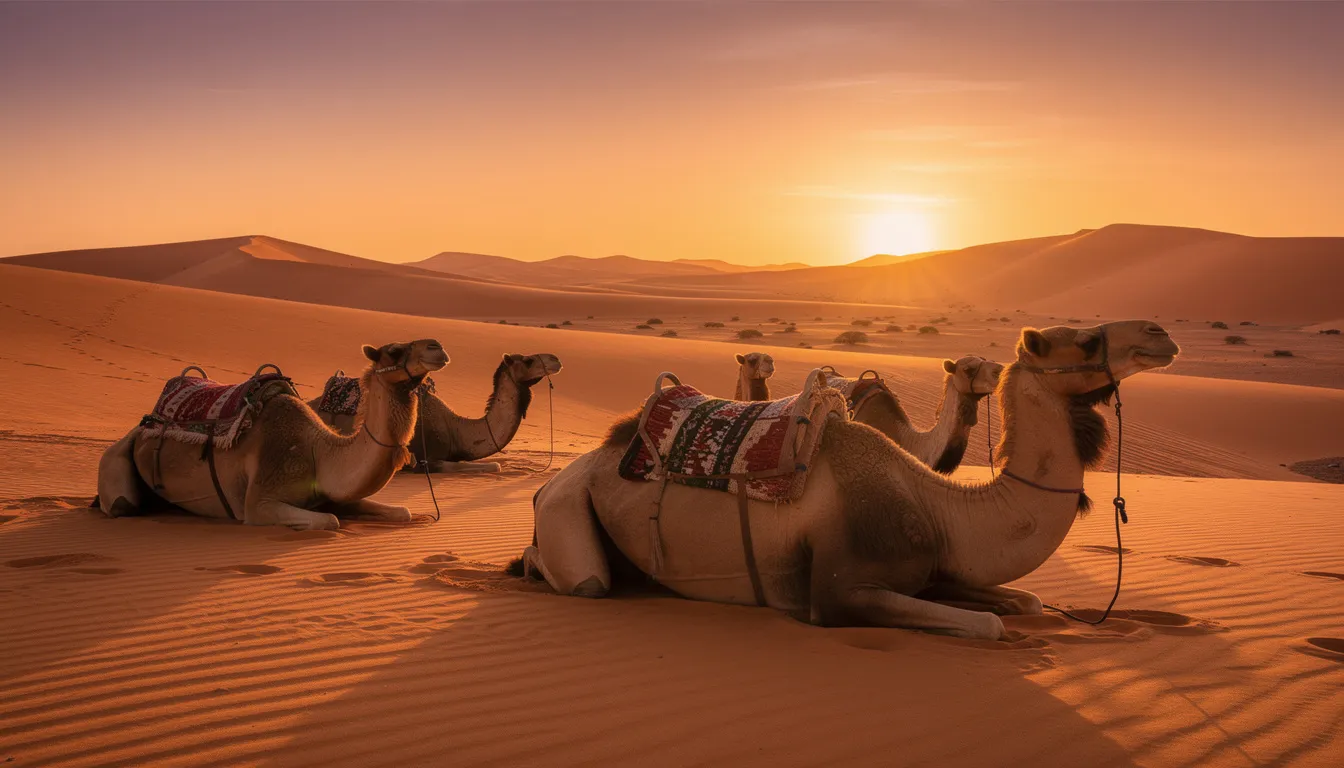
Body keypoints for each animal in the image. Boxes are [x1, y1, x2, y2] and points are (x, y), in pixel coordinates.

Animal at [95, 339, 448, 530]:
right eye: (394, 350)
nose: (438, 347)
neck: (318, 452)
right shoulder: (259, 502)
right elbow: (329, 520)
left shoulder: (333, 493)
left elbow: (401, 512)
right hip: (117, 462)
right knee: (123, 504)